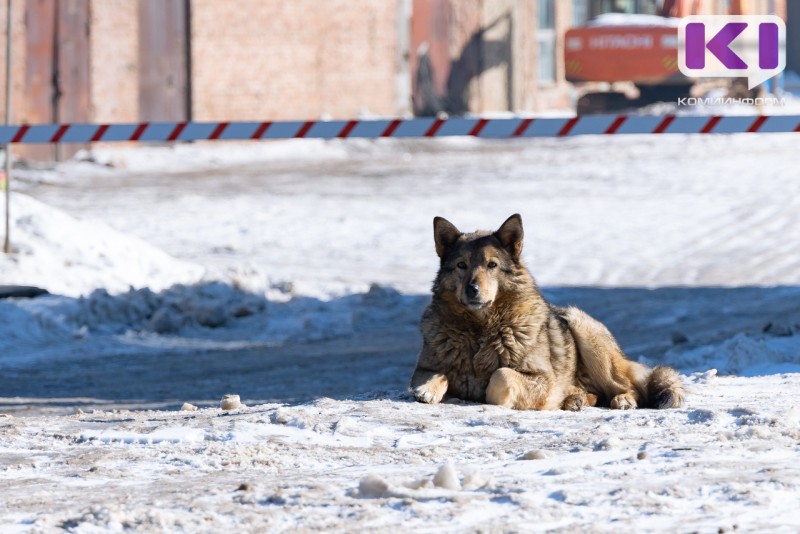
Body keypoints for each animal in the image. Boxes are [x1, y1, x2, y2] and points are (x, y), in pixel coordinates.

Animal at [410, 216, 684, 412]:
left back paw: (621, 400)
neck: (480, 330)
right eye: (461, 265)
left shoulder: (542, 379)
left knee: (630, 388)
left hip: (584, 331)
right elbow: (435, 375)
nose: (472, 290)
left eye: (492, 265)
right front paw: (427, 390)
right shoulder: (424, 366)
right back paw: (575, 399)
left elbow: (500, 376)